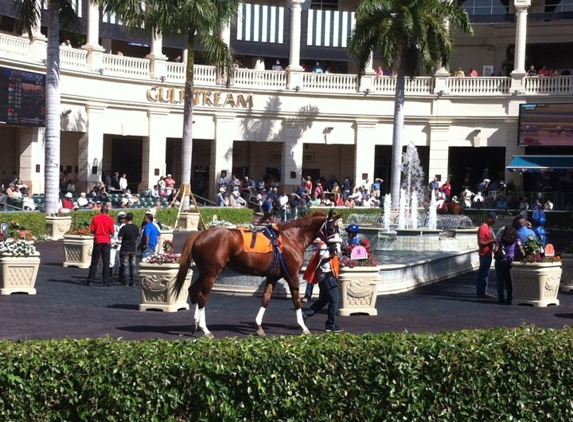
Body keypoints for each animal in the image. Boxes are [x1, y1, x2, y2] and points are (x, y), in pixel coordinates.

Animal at [171, 210, 340, 336]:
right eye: (332, 229)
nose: (337, 249)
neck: (291, 238)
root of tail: (199, 235)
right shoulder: (292, 275)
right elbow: (297, 300)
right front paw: (304, 327)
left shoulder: (273, 276)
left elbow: (265, 299)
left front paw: (259, 327)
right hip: (212, 273)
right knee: (202, 296)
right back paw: (205, 329)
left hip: (204, 272)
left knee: (193, 290)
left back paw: (195, 325)